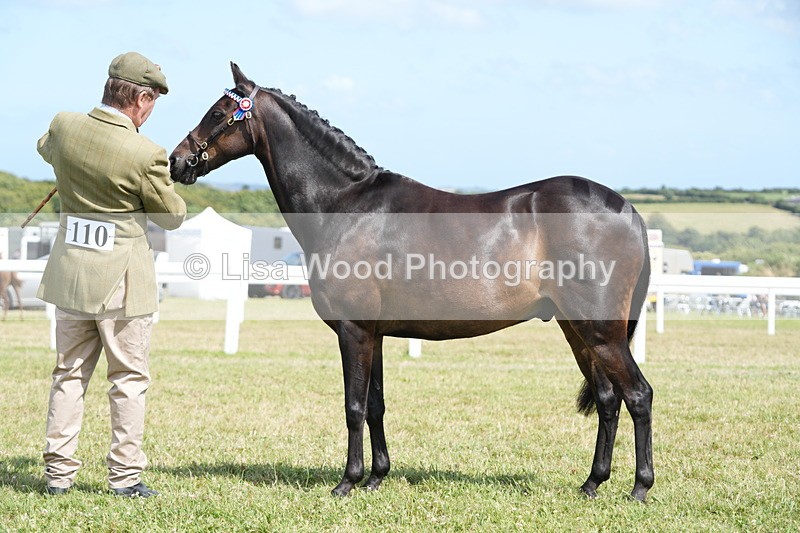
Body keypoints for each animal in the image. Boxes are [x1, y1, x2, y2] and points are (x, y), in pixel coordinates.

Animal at [168, 63, 654, 502]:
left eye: (217, 113)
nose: (177, 161)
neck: (346, 205)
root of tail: (627, 211)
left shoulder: (353, 330)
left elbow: (353, 406)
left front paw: (347, 482)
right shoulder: (375, 333)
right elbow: (376, 405)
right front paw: (377, 477)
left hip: (600, 331)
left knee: (638, 394)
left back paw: (639, 488)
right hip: (579, 330)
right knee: (608, 399)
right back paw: (591, 484)